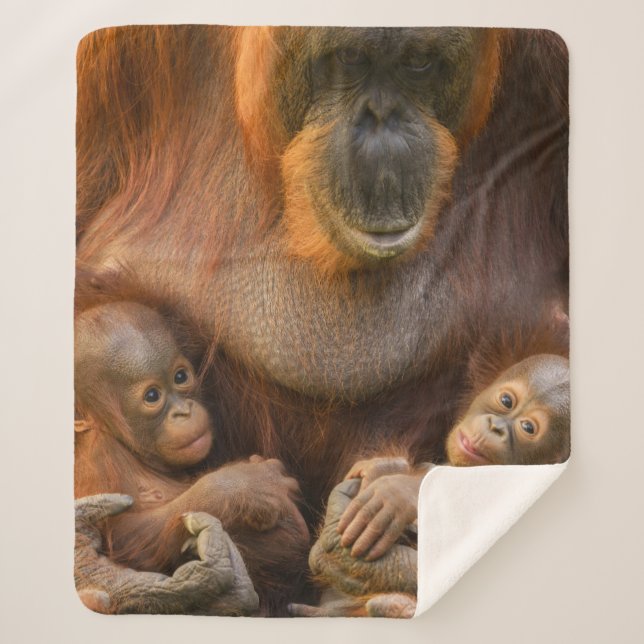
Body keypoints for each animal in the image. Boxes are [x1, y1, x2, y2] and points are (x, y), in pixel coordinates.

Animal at [74, 301, 309, 614]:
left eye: (180, 377)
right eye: (152, 396)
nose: (184, 412)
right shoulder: (100, 460)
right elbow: (125, 533)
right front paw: (243, 486)